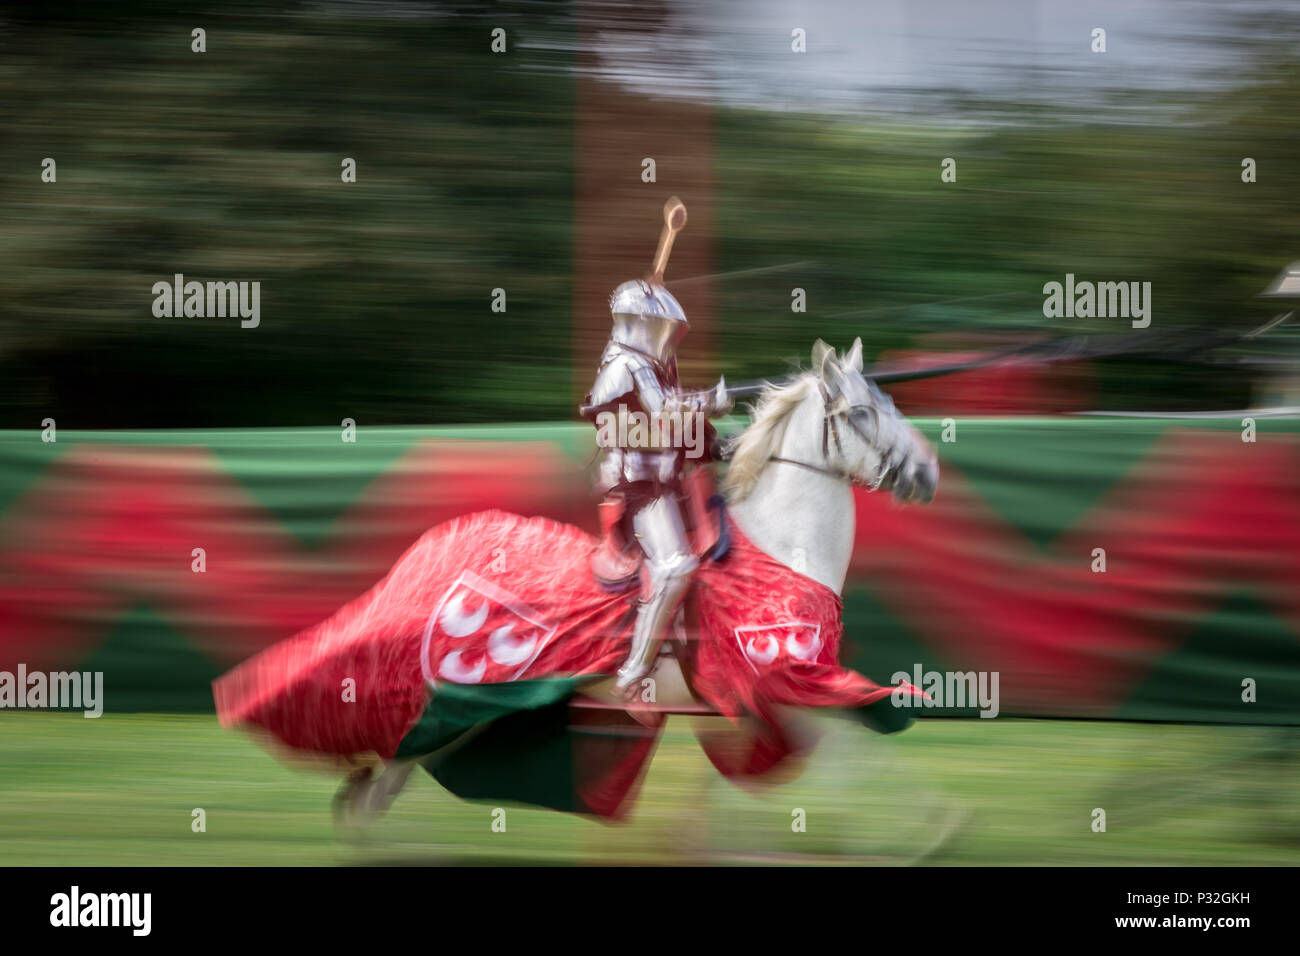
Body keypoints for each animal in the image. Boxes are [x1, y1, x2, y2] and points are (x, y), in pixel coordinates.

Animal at [340, 340, 941, 832]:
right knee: (384, 779)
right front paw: (933, 829)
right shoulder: (786, 690)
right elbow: (861, 755)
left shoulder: (770, 708)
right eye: (861, 412)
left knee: (382, 784)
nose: (926, 474)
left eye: (890, 402)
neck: (781, 546)